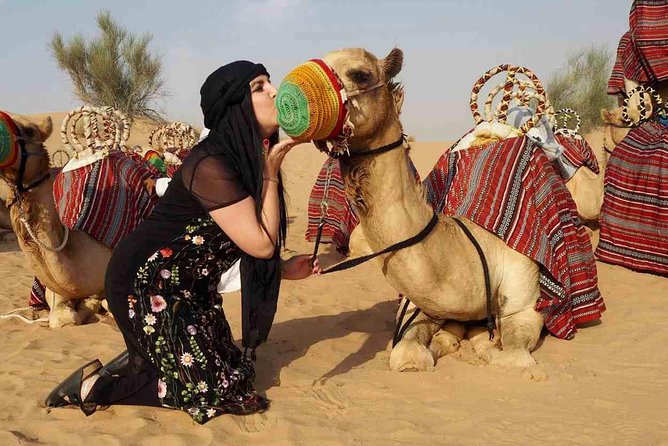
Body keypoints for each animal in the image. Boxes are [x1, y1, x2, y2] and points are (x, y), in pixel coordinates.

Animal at [317, 48, 545, 373]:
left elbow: (510, 358)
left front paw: (483, 343)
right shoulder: (419, 303)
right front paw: (441, 343)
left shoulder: (524, 305)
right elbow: (407, 353)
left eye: (360, 75)